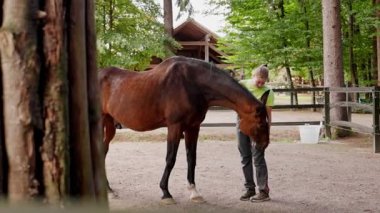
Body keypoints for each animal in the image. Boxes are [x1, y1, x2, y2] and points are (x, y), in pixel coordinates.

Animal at [98, 55, 270, 205]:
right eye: (262, 124)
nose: (264, 145)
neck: (192, 83)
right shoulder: (175, 126)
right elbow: (170, 159)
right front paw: (166, 193)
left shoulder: (193, 127)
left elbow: (191, 158)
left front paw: (194, 192)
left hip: (110, 124)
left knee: (103, 151)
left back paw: (109, 190)